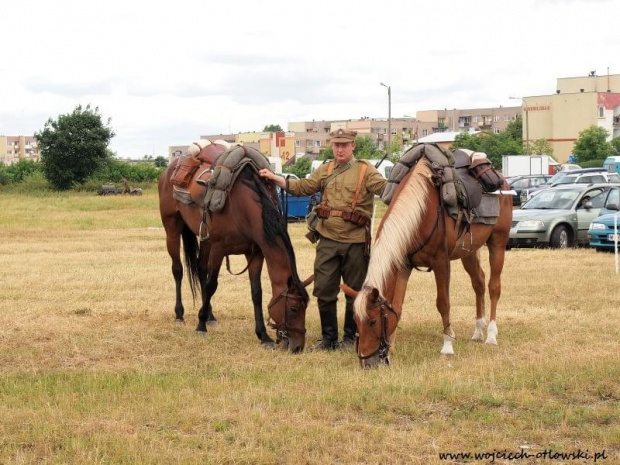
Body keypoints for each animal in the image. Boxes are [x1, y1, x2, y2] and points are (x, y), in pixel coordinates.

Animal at [157, 154, 312, 350]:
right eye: (294, 308)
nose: (298, 347)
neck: (241, 207)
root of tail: (170, 169)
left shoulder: (255, 253)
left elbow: (256, 292)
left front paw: (263, 336)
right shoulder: (218, 249)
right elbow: (212, 285)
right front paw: (200, 326)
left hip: (204, 238)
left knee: (201, 268)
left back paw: (210, 315)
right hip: (173, 228)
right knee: (178, 270)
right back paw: (180, 314)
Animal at [342, 156, 512, 366]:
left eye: (373, 321)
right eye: (356, 321)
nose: (367, 362)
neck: (421, 211)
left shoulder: (441, 262)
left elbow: (443, 303)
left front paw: (447, 345)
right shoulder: (404, 265)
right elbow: (397, 305)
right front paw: (391, 349)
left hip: (498, 243)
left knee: (493, 286)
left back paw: (491, 335)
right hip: (469, 252)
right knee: (479, 283)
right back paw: (478, 331)